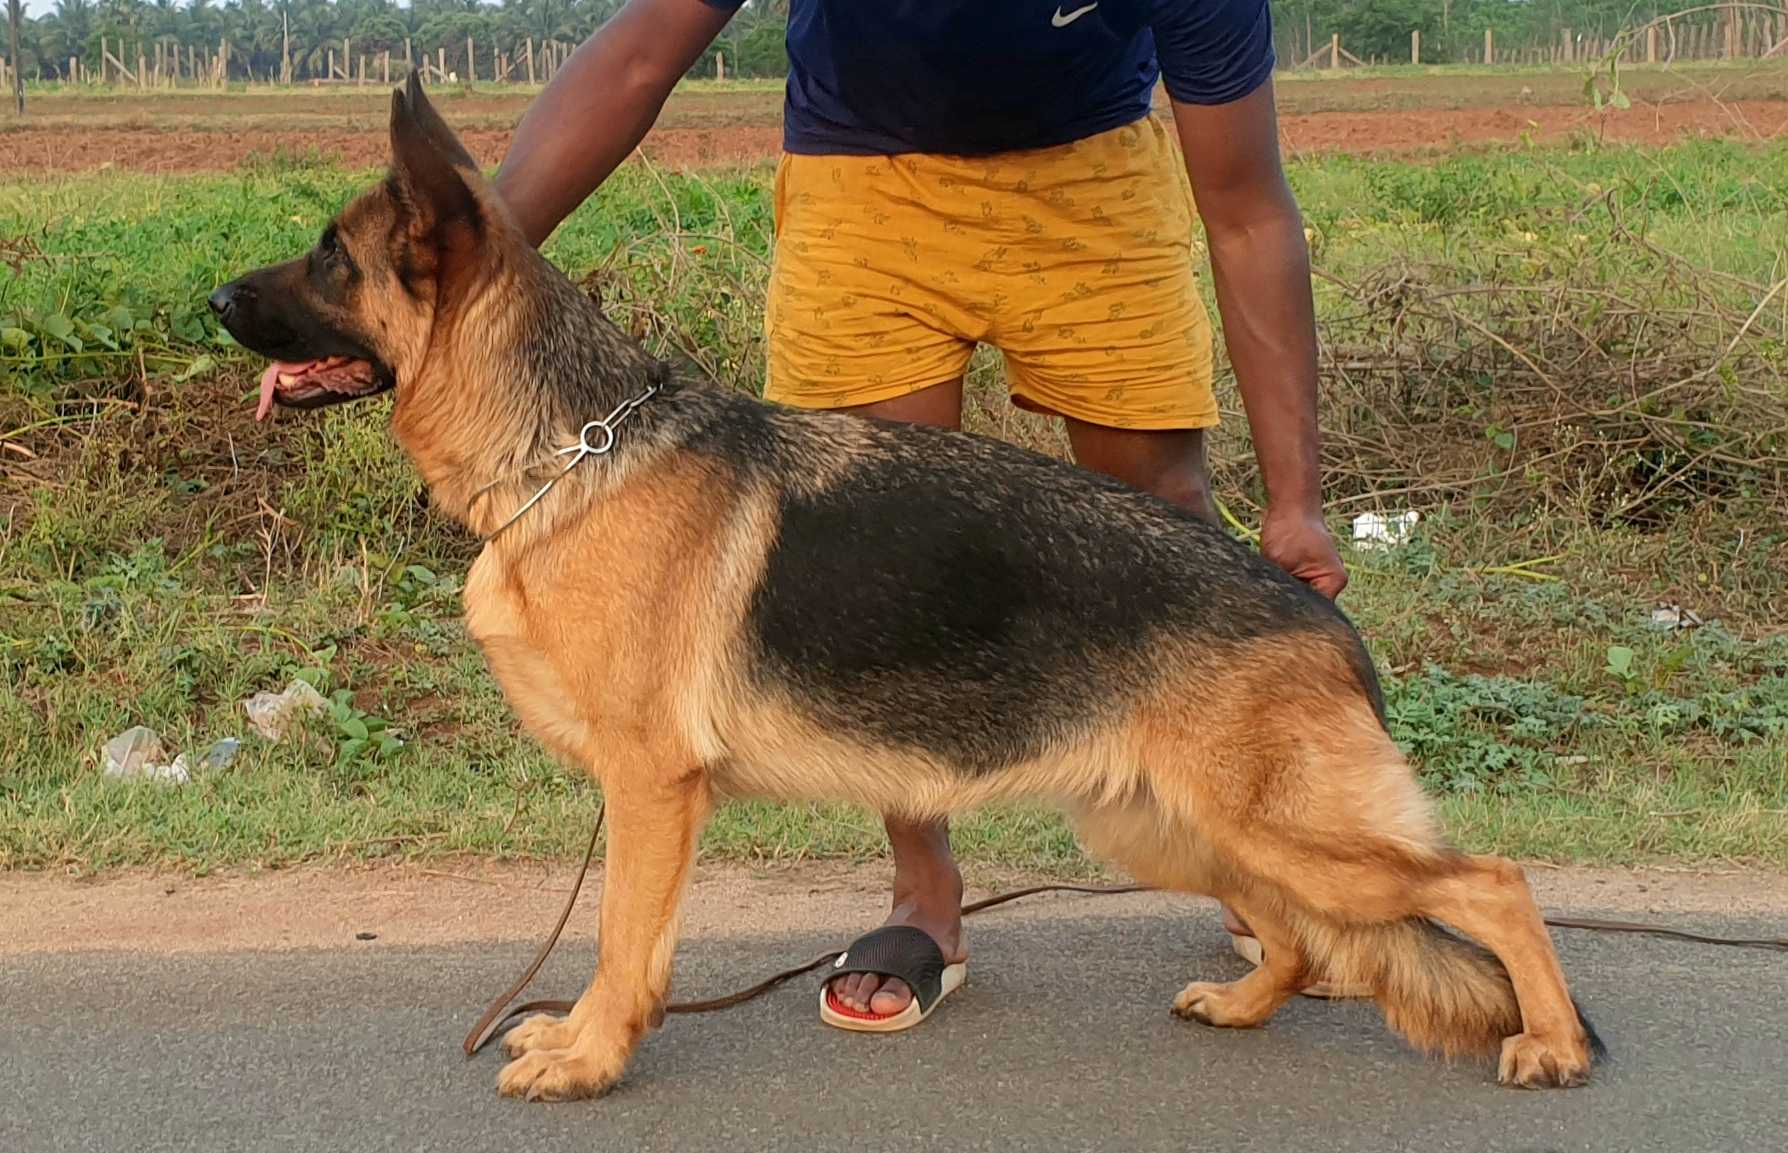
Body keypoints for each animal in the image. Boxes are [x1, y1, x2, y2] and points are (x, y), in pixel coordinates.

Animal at [210, 75, 1601, 1101]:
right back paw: (1249, 1001)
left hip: (1283, 828)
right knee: (1309, 932)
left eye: (331, 258)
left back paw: (1551, 1040)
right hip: (1170, 825)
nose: (212, 294)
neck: (569, 444)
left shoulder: (651, 791)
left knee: (1492, 882)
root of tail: (1324, 611)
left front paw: (591, 1055)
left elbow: (617, 942)